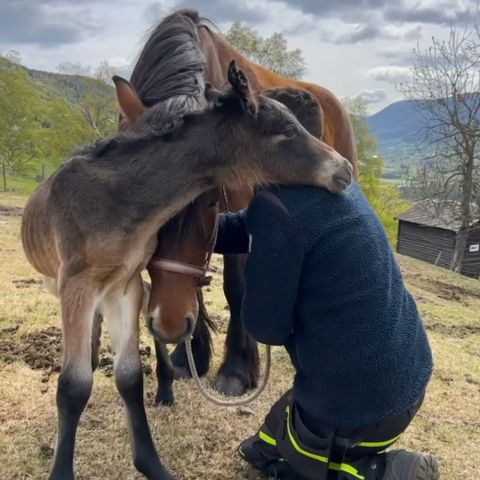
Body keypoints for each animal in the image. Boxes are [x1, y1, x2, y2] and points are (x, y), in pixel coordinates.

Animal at [21, 61, 352, 480]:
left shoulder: (125, 285)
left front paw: (151, 464)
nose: (344, 169)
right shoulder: (78, 285)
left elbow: (129, 376)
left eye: (210, 205)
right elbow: (73, 386)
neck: (117, 202)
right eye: (289, 131)